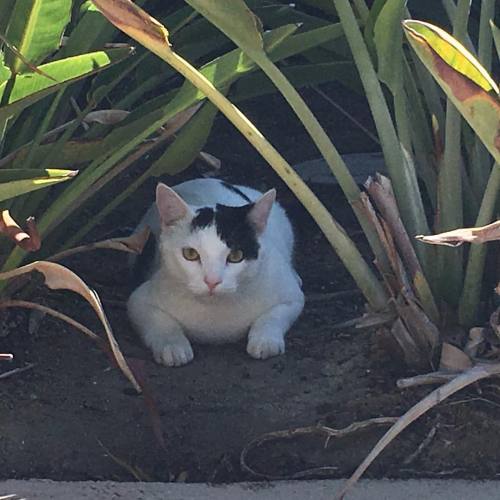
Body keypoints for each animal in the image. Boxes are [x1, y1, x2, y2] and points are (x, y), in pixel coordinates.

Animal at [127, 178, 302, 366]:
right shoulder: (138, 300)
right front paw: (172, 345)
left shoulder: (292, 297)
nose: (212, 281)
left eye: (236, 256)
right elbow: (159, 322)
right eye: (190, 254)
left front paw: (266, 340)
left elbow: (274, 316)